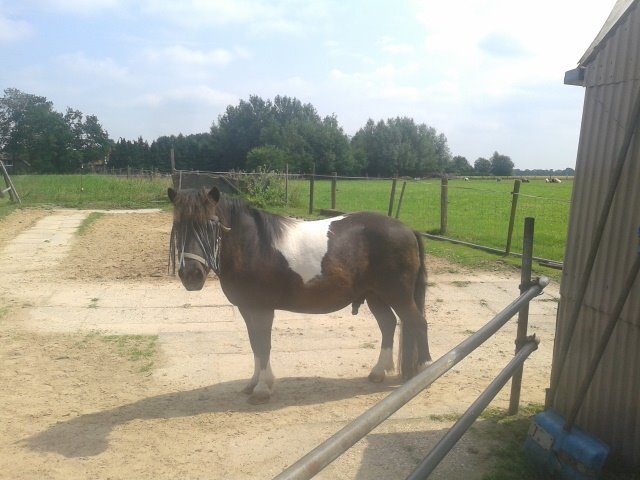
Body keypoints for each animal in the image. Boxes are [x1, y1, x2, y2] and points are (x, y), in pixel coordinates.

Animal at [167, 187, 432, 404]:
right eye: (178, 226)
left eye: (211, 225)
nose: (191, 274)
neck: (253, 245)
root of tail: (407, 229)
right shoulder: (246, 308)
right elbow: (255, 344)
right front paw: (254, 383)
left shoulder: (262, 309)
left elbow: (263, 345)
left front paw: (262, 389)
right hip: (375, 295)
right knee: (389, 324)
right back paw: (379, 372)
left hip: (397, 294)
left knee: (417, 323)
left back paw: (425, 367)